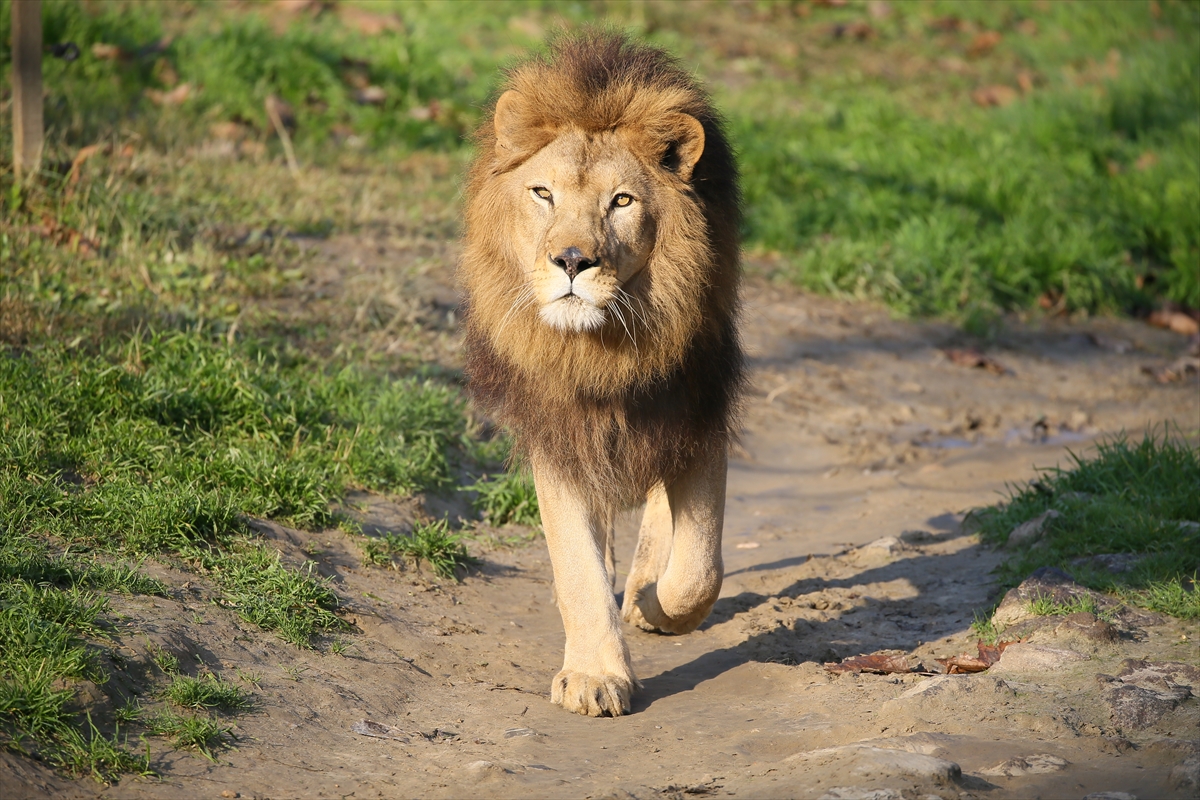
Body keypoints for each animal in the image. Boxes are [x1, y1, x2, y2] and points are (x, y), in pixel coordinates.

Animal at [456, 32, 739, 719]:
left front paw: (653, 604)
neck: (601, 351)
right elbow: (578, 567)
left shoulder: (698, 408)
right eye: (543, 194)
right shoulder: (559, 432)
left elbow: (699, 569)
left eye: (622, 201)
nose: (572, 261)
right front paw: (594, 676)